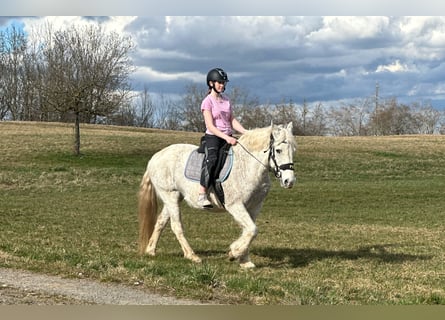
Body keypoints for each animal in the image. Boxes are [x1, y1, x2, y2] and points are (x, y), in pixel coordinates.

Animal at [137, 122, 296, 268]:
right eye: (278, 150)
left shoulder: (254, 207)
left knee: (160, 222)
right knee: (176, 226)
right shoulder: (235, 205)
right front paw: (234, 253)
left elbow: (249, 231)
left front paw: (244, 260)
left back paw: (151, 250)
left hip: (174, 198)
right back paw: (192, 256)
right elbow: (252, 230)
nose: (289, 181)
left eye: (293, 150)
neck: (246, 166)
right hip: (170, 196)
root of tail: (156, 157)